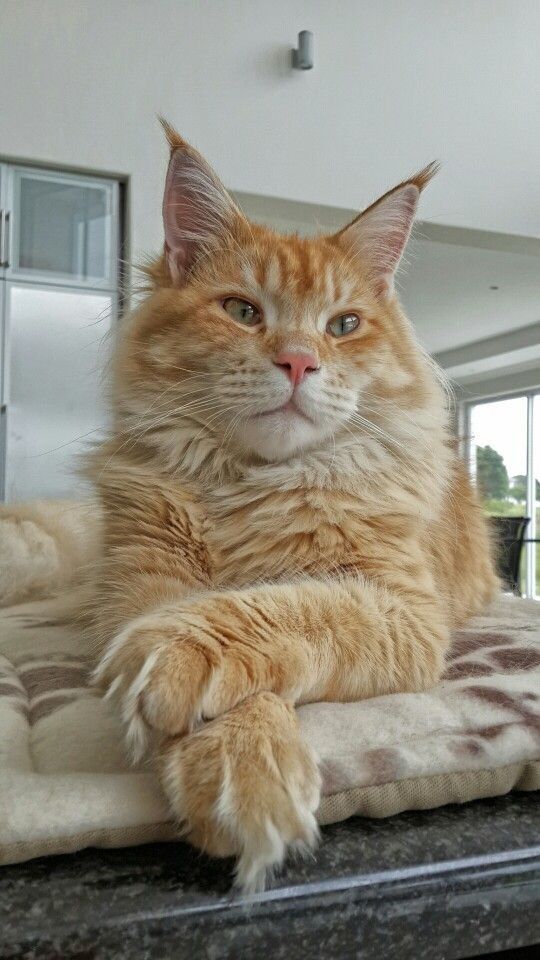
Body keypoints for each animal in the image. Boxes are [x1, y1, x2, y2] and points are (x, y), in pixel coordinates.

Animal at [83, 125, 498, 892]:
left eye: (344, 325)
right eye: (243, 311)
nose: (301, 362)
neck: (254, 487)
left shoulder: (398, 605)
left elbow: (283, 609)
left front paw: (191, 671)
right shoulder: (140, 582)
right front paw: (241, 766)